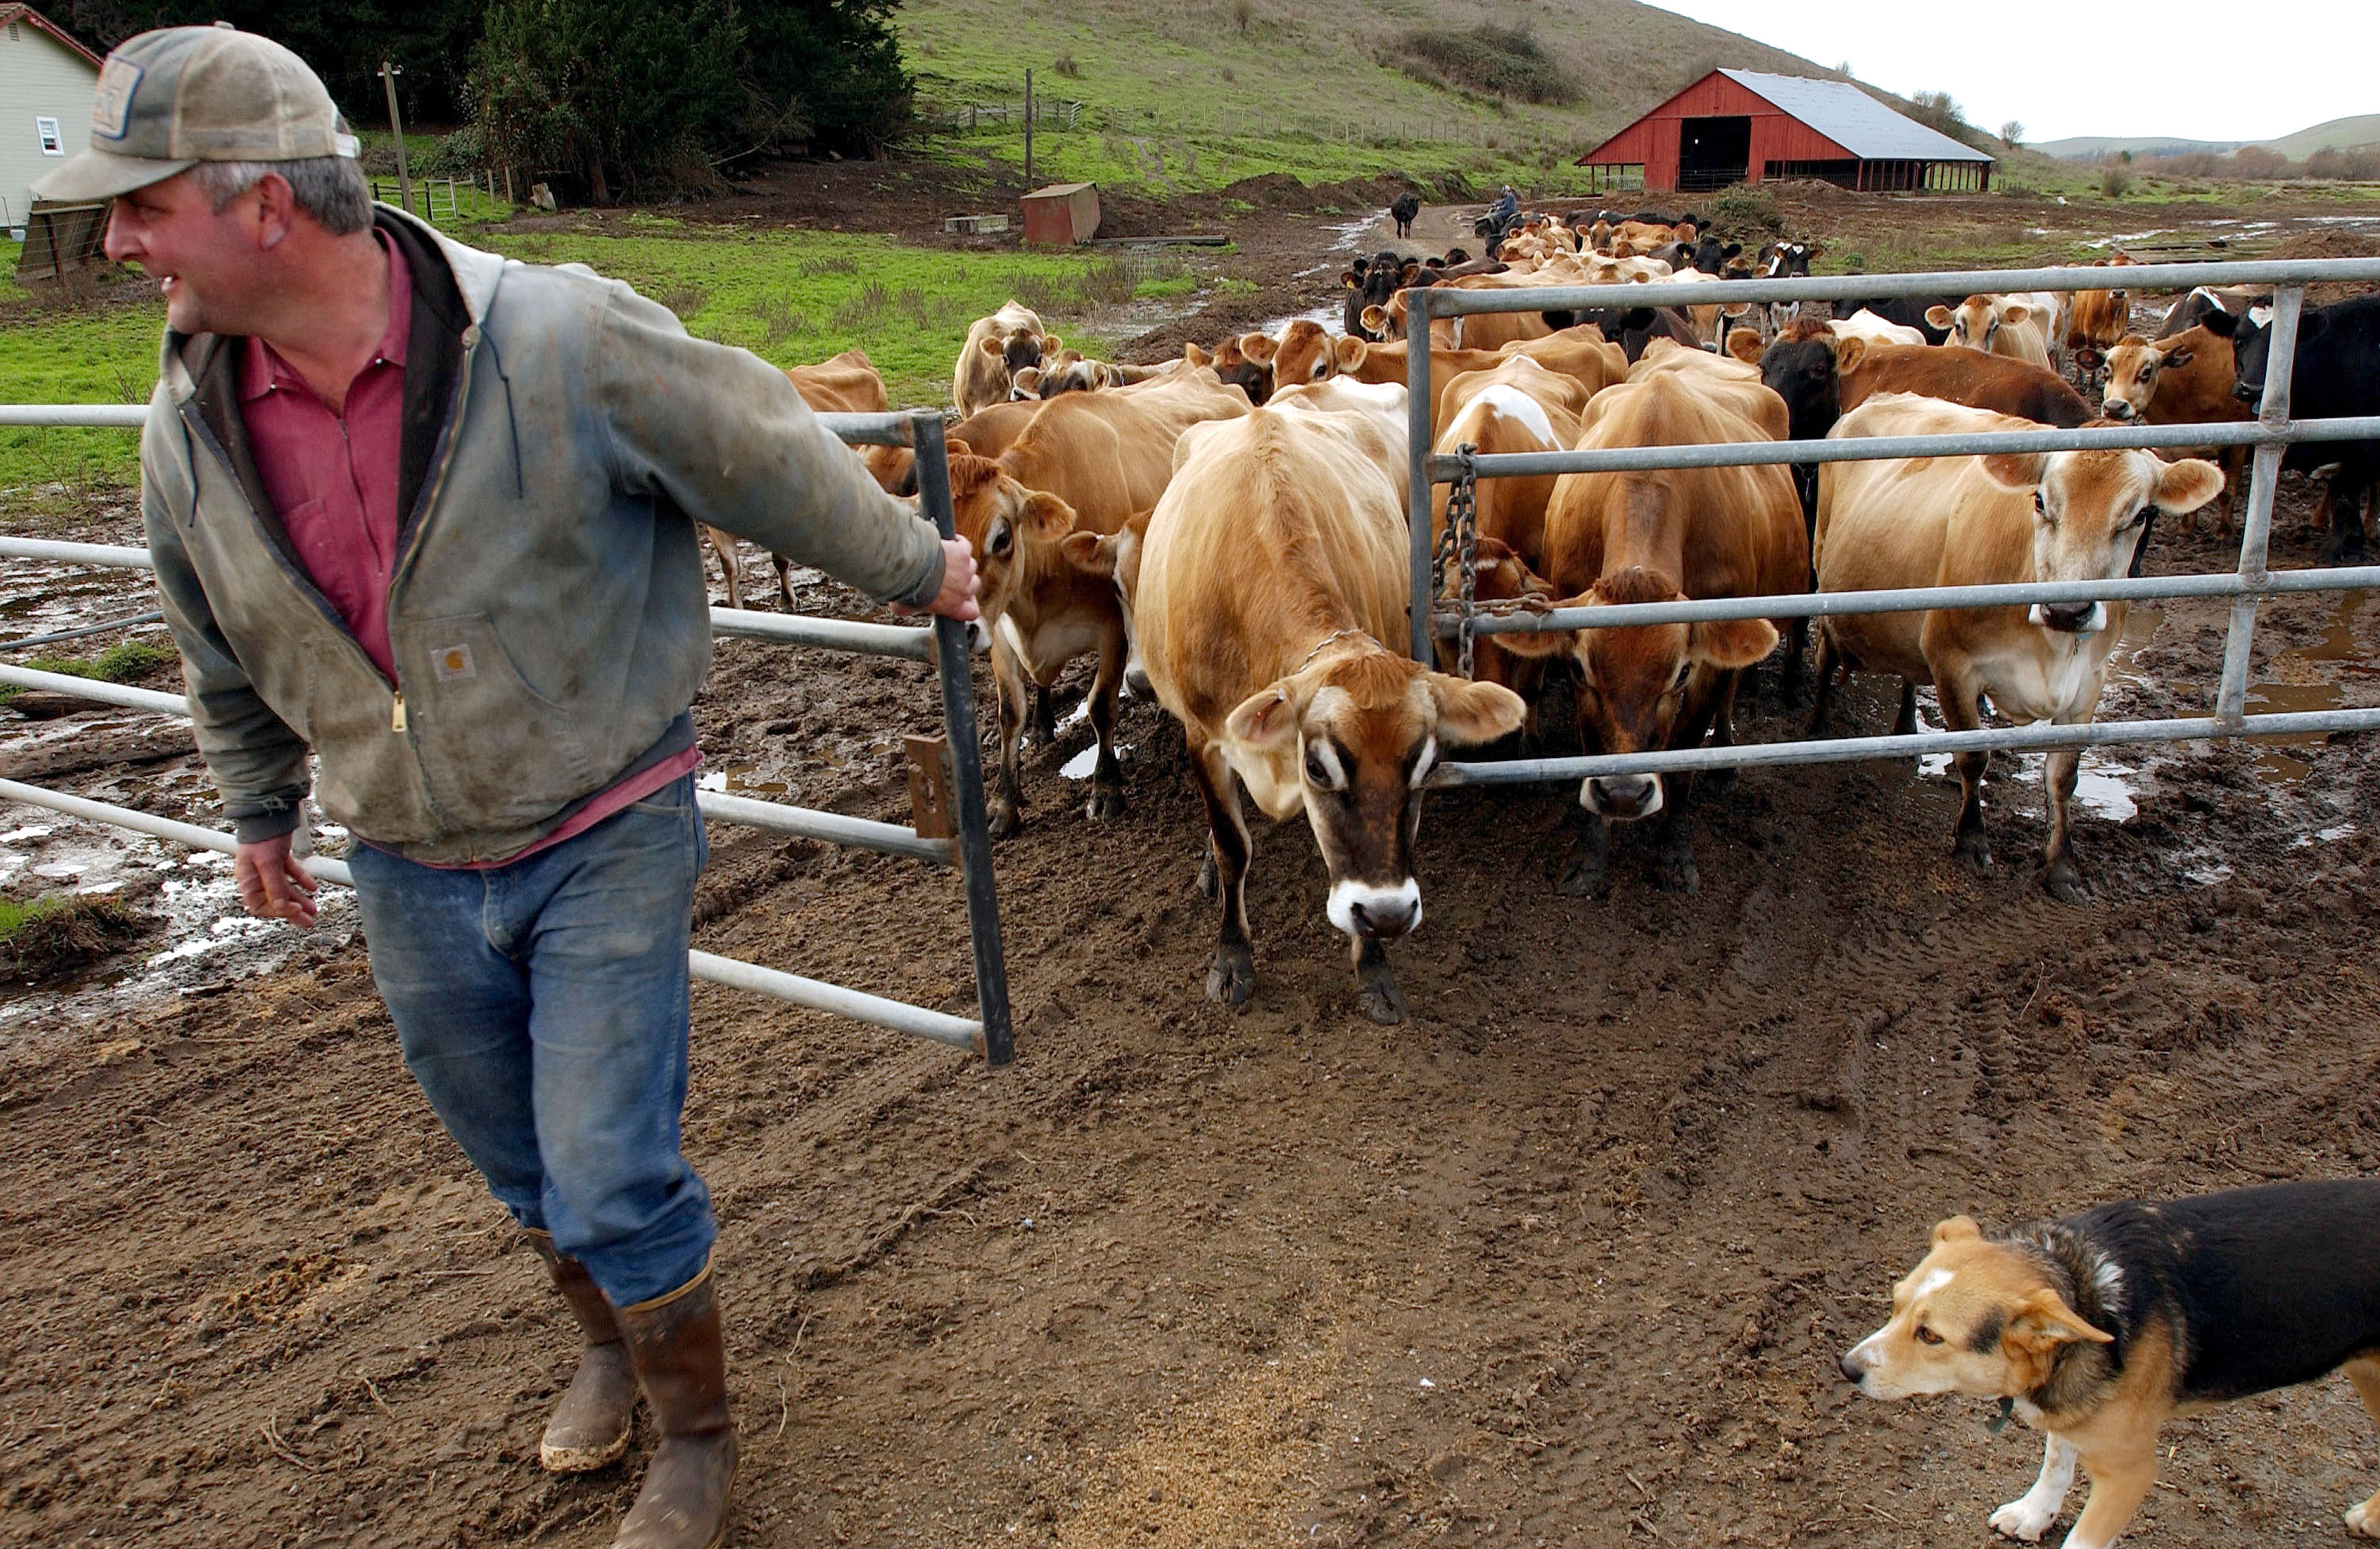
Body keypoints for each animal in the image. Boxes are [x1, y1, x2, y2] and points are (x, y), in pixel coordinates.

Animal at [1485, 368, 1799, 894]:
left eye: (1682, 672)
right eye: (1578, 668)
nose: (1624, 795)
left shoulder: (1711, 658)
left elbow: (1686, 750)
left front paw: (1674, 850)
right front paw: (1591, 856)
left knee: (1733, 692)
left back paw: (1726, 759)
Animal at [1837, 1180, 2380, 1542]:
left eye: (1930, 1335)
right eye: (1895, 1305)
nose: (1848, 1368)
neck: (2086, 1291)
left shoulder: (2130, 1473)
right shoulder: (2074, 1407)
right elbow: (2056, 1462)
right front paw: (2035, 1513)